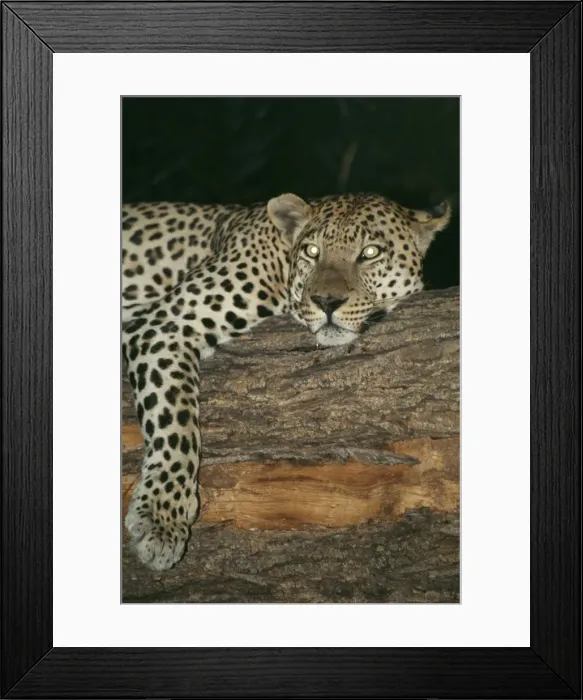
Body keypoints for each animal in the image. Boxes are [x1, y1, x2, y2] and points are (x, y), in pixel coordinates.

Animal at [122, 193, 451, 570]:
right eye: (312, 251)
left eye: (370, 253)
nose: (327, 301)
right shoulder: (164, 325)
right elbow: (175, 425)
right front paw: (161, 520)